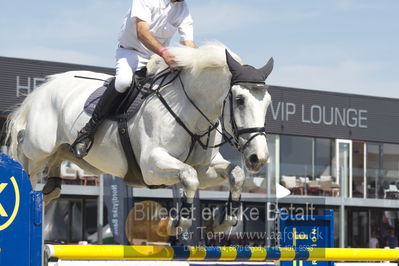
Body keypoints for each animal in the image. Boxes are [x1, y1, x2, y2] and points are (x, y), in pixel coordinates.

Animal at [6, 43, 274, 235]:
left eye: (268, 103)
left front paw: (223, 222)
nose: (258, 158)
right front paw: (177, 223)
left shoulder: (204, 167)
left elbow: (234, 174)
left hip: (61, 151)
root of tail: (43, 88)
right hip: (38, 147)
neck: (191, 110)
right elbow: (189, 177)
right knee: (24, 157)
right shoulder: (151, 165)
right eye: (239, 100)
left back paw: (51, 188)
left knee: (53, 176)